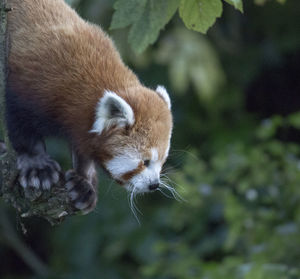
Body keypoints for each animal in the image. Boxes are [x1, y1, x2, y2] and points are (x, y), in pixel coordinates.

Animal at [4, 0, 172, 214]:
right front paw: (37, 166)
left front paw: (83, 184)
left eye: (162, 161)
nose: (154, 185)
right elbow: (20, 124)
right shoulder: (27, 84)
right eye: (145, 162)